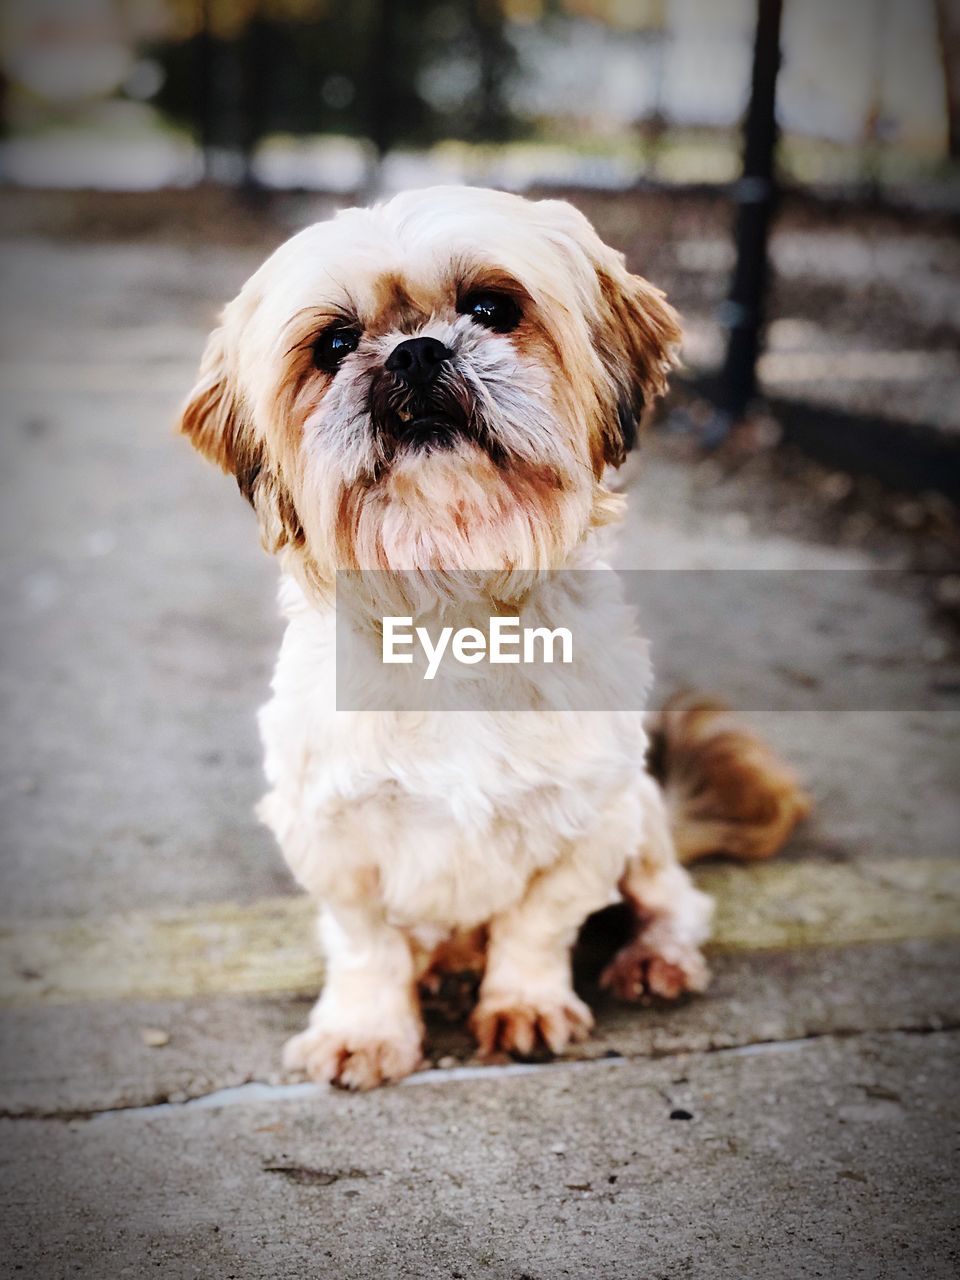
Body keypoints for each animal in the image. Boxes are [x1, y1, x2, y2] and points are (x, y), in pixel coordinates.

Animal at [176, 186, 808, 1090]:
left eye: (491, 308)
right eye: (335, 344)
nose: (415, 353)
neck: (454, 604)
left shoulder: (591, 822)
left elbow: (538, 924)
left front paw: (526, 1003)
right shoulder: (330, 834)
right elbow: (366, 946)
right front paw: (366, 1027)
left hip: (643, 822)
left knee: (674, 902)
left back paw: (652, 957)